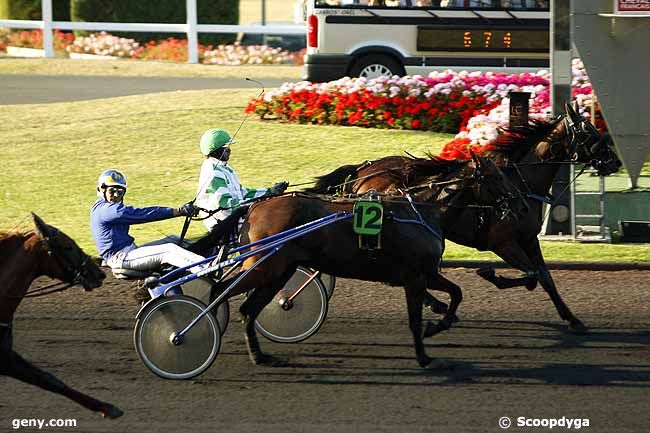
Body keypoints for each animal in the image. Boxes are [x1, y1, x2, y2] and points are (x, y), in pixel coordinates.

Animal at [220, 154, 524, 366]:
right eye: (496, 176)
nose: (520, 204)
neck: (422, 211)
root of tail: (255, 207)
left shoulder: (426, 273)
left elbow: (457, 293)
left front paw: (437, 326)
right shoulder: (415, 277)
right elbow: (415, 319)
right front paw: (424, 356)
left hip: (279, 270)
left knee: (247, 308)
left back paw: (261, 356)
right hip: (266, 266)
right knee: (220, 291)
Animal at [306, 102, 620, 330]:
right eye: (589, 132)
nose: (614, 161)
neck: (518, 183)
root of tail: (364, 170)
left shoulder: (529, 239)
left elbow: (544, 277)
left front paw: (572, 318)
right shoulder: (502, 242)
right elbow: (530, 275)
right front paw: (491, 274)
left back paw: (437, 304)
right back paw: (438, 304)